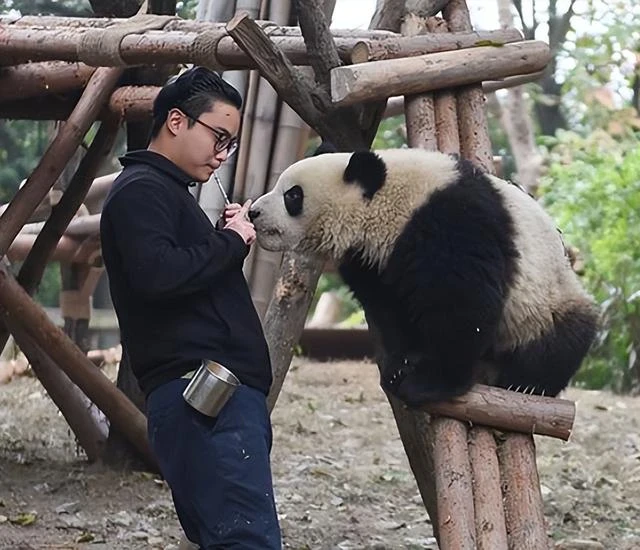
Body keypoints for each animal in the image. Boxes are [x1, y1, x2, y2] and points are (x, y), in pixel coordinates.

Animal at [248, 149, 596, 408]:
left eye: (292, 195)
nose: (253, 212)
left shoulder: (449, 221)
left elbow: (463, 303)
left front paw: (431, 383)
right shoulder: (373, 258)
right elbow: (388, 306)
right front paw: (402, 363)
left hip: (545, 299)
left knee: (564, 336)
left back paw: (528, 383)